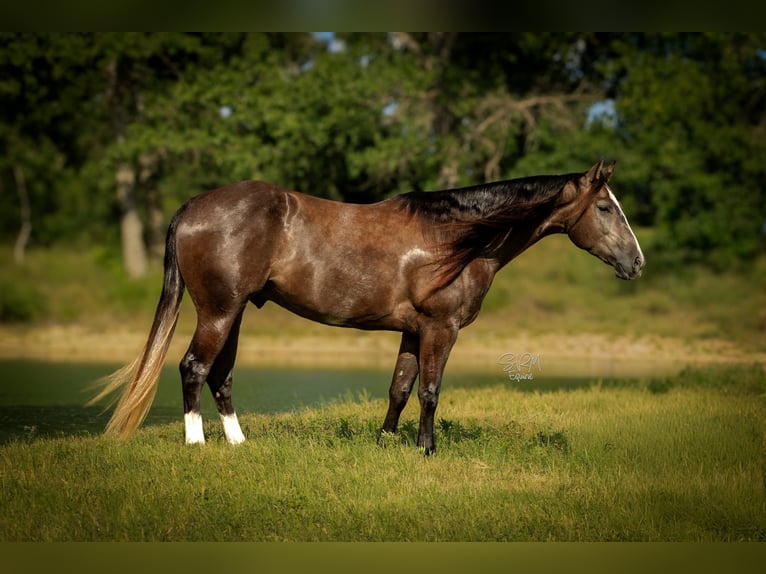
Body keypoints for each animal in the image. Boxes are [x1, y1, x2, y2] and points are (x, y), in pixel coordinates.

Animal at [90, 160, 644, 454]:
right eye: (604, 207)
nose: (637, 263)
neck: (456, 240)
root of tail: (192, 207)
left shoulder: (413, 331)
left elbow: (399, 389)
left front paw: (384, 444)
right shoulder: (441, 330)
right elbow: (430, 392)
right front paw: (427, 450)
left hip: (235, 311)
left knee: (221, 374)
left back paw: (239, 443)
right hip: (219, 311)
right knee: (193, 367)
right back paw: (197, 445)